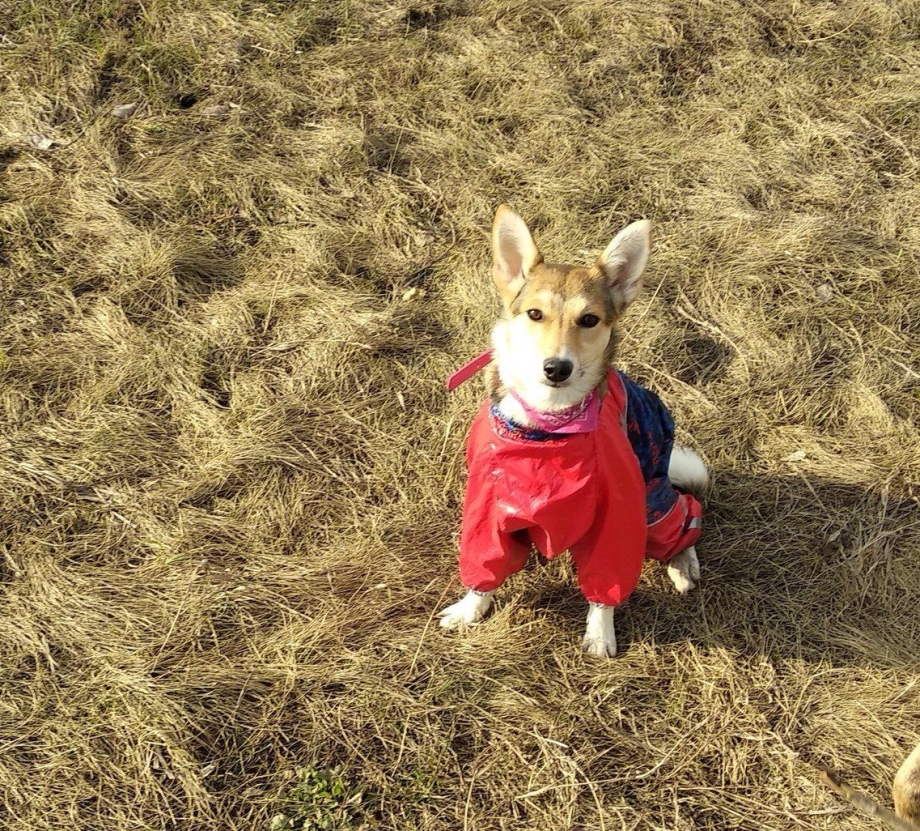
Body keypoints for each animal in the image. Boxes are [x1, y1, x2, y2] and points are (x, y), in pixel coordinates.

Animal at [438, 206, 712, 656]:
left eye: (589, 320)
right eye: (534, 314)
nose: (557, 367)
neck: (545, 432)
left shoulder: (617, 515)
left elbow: (604, 588)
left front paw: (600, 635)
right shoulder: (488, 506)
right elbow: (485, 565)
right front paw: (470, 609)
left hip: (653, 502)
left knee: (687, 512)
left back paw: (683, 564)